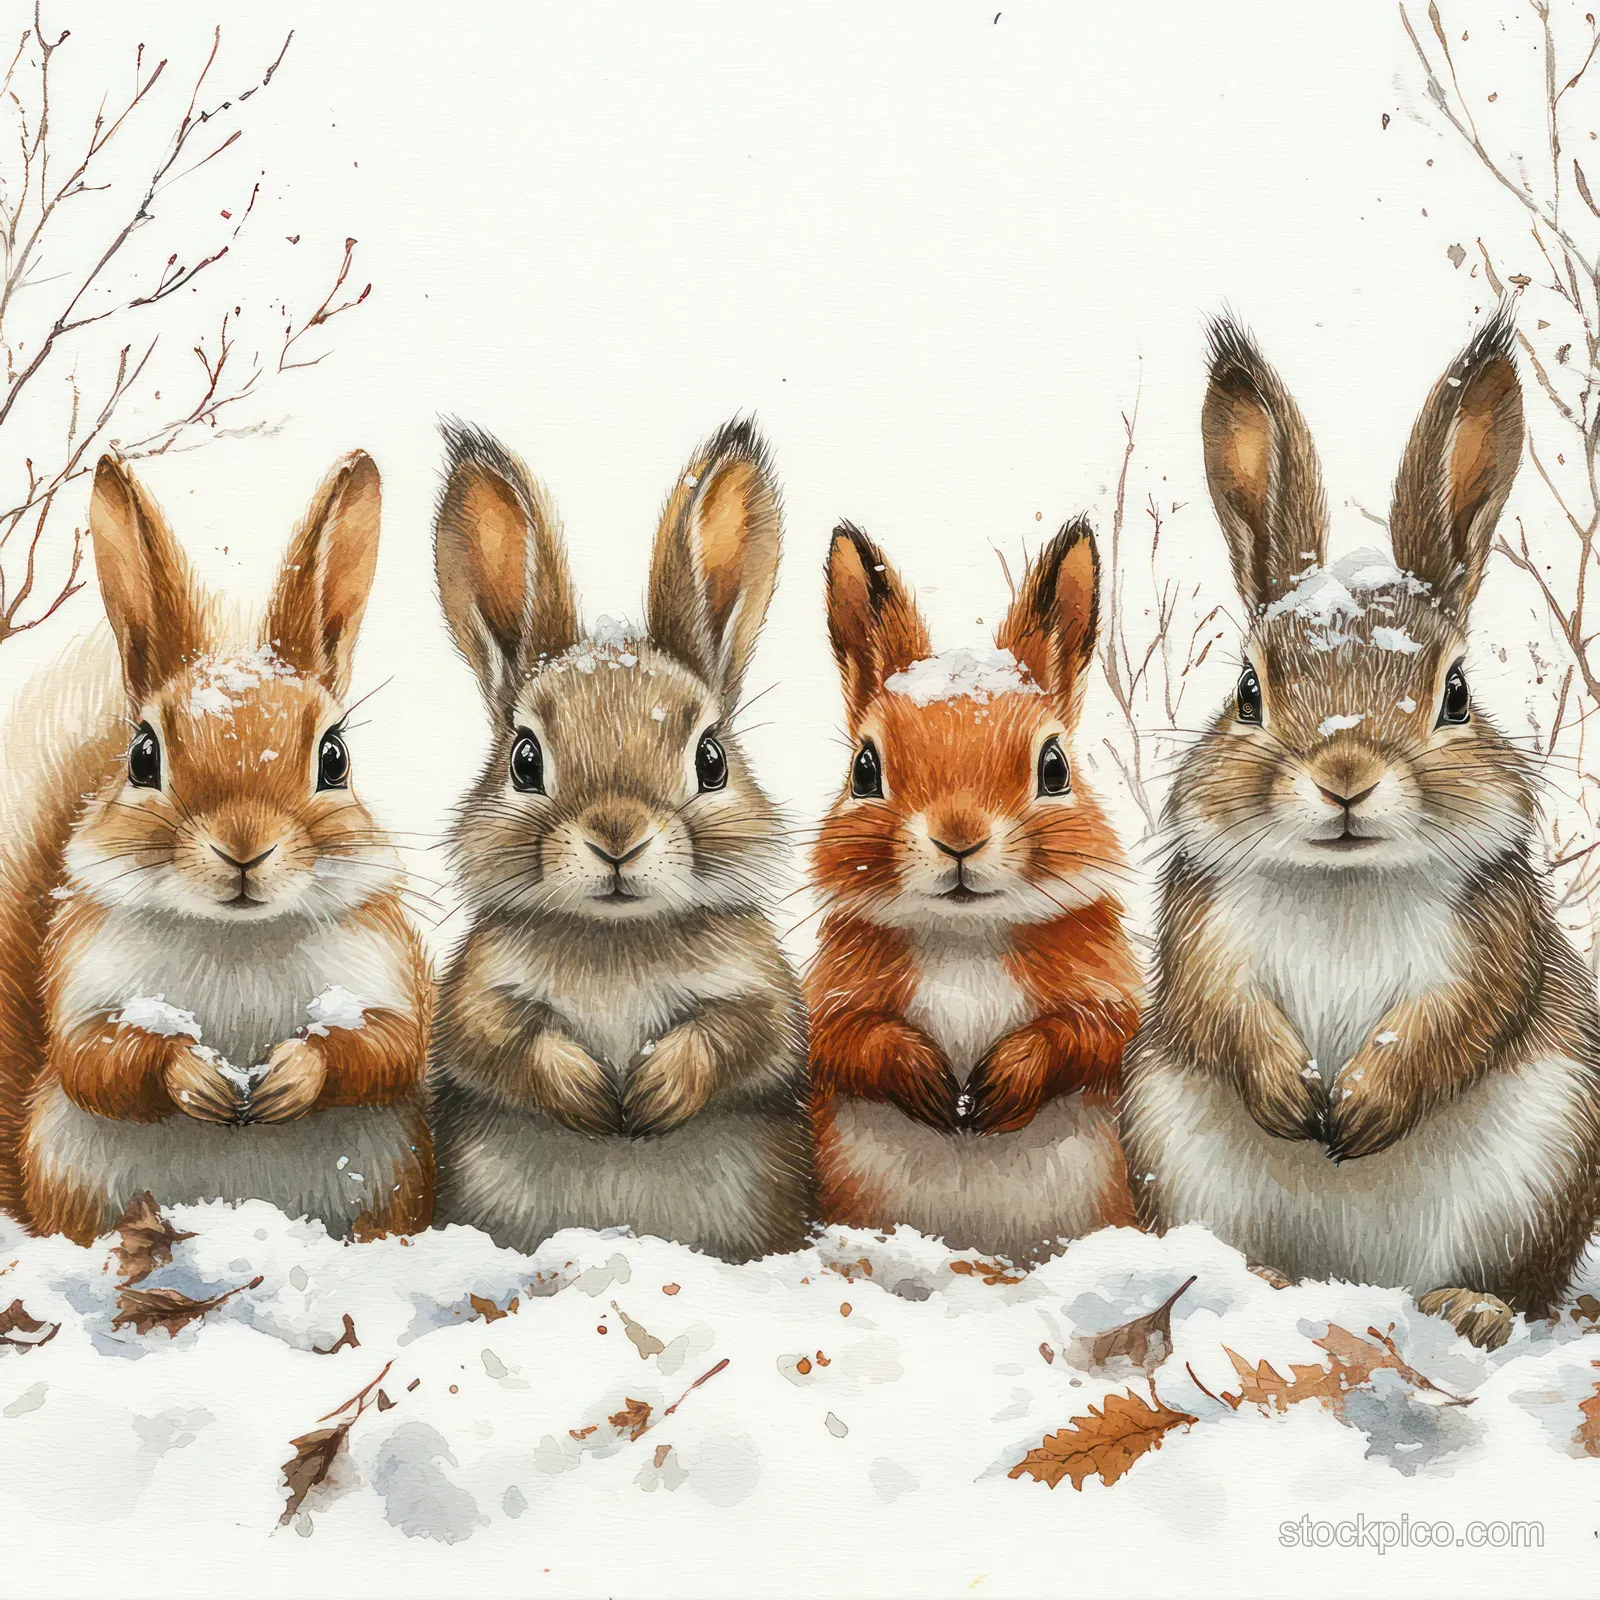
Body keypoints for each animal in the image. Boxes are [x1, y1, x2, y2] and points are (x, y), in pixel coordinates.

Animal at [0, 452, 434, 1245]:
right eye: (142, 756)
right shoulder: (81, 975)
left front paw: (296, 1074)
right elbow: (91, 1057)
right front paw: (190, 1073)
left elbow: (387, 1046)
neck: (237, 936)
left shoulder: (384, 967)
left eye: (335, 758)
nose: (243, 848)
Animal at [428, 418, 811, 1262]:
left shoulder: (764, 994)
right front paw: (593, 1097)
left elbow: (743, 1036)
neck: (617, 936)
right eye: (525, 760)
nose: (616, 837)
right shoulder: (475, 996)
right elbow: (499, 1041)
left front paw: (652, 1093)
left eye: (711, 759)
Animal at [806, 520, 1141, 1267]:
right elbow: (850, 1040)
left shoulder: (1106, 997)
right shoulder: (835, 1003)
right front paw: (932, 1083)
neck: (966, 937)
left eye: (1055, 768)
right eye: (864, 769)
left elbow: (1089, 1036)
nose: (958, 838)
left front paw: (996, 1086)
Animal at [1120, 308, 1600, 1349]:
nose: (1345, 776)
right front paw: (1294, 1095)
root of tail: (1357, 1283)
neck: (1344, 877)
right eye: (1248, 691)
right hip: (1169, 1144)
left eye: (1455, 694)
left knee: (1518, 1287)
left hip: (1546, 1159)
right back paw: (1263, 1284)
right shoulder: (1202, 933)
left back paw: (1468, 1311)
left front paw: (1359, 1107)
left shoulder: (1493, 936)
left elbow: (1459, 1019)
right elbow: (1221, 1010)